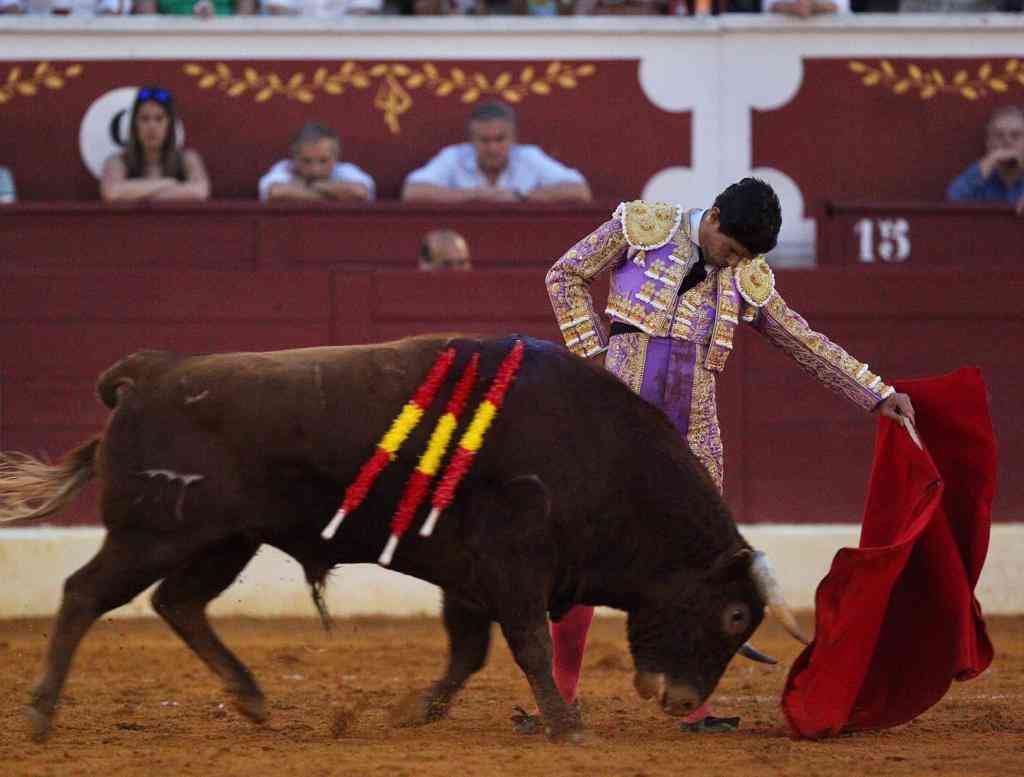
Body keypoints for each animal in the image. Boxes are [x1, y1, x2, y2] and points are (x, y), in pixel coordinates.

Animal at [0, 334, 806, 743]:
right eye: (736, 614)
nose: (680, 699)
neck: (603, 457)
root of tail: (146, 374)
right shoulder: (513, 564)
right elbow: (527, 642)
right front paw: (563, 723)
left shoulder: (471, 576)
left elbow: (469, 650)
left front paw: (419, 710)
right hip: (152, 533)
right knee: (84, 594)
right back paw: (40, 713)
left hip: (224, 541)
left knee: (179, 603)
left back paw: (252, 699)